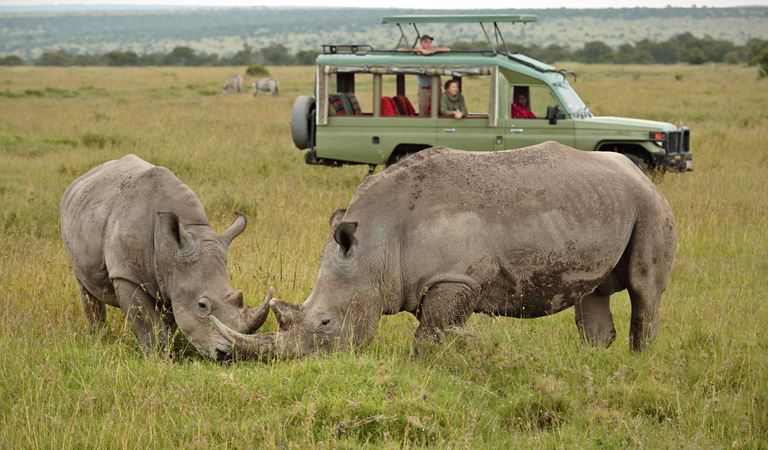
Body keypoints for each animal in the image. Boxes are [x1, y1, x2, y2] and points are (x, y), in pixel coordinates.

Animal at [60, 154, 270, 359]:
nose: (229, 355)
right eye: (202, 305)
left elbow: (169, 320)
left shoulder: (173, 279)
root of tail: (78, 181)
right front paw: (158, 358)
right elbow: (148, 323)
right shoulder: (126, 275)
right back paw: (98, 338)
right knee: (85, 286)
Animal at [212, 142, 677, 359]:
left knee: (644, 290)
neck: (376, 244)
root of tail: (641, 173)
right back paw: (593, 362)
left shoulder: (455, 278)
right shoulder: (429, 280)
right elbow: (433, 331)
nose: (300, 362)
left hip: (649, 205)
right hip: (605, 204)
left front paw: (427, 366)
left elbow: (430, 334)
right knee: (592, 294)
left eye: (325, 323)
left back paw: (638, 360)